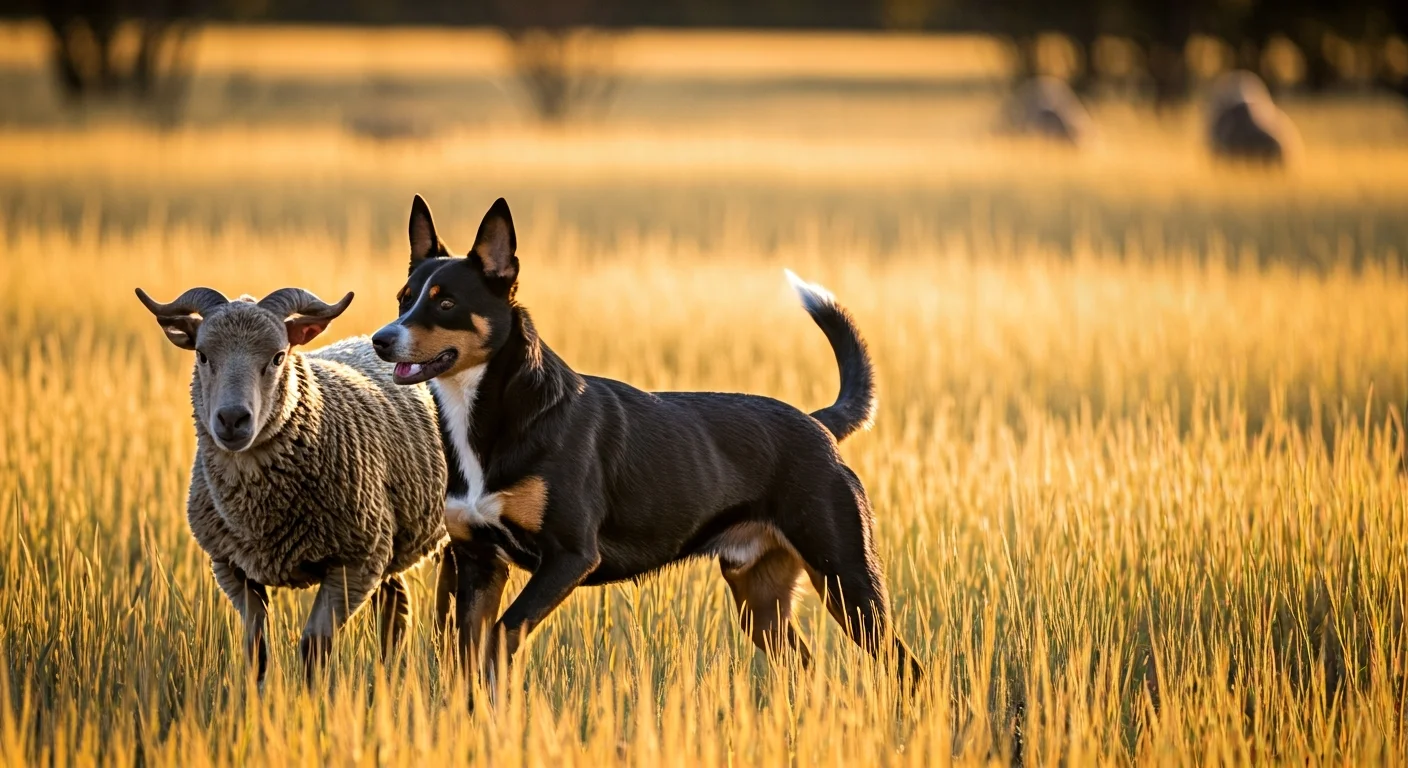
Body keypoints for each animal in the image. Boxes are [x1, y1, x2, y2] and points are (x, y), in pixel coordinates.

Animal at [135, 285, 448, 684]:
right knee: (396, 609)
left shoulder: (353, 564)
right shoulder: (232, 568)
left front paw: (311, 699)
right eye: (202, 355)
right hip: (387, 544)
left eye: (278, 357)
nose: (232, 419)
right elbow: (256, 649)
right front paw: (255, 699)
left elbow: (314, 646)